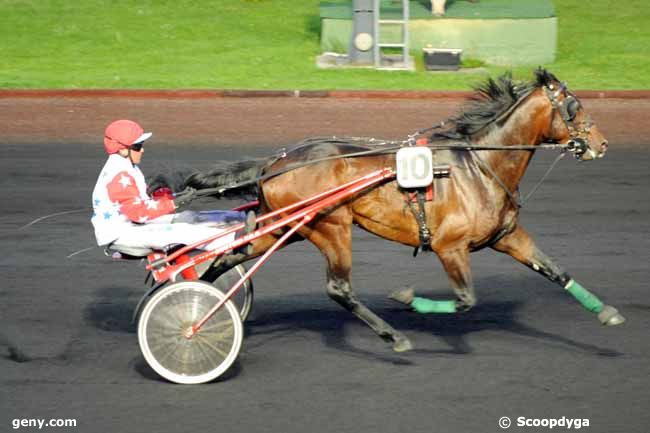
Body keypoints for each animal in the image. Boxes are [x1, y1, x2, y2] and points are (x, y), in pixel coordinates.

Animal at [159, 68, 620, 352]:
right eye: (575, 106)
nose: (601, 144)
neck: (478, 166)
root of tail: (277, 161)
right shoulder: (451, 247)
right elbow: (466, 299)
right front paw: (408, 298)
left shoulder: (507, 236)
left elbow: (556, 270)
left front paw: (607, 313)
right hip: (331, 226)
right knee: (338, 288)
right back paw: (392, 335)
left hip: (282, 227)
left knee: (226, 258)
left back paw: (198, 302)